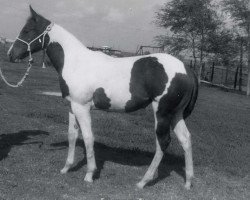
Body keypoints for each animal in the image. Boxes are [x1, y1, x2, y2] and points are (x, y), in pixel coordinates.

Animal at [8, 6, 199, 189]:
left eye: (27, 30)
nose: (11, 54)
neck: (76, 62)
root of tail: (187, 69)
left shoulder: (82, 107)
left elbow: (88, 137)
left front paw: (89, 175)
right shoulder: (72, 106)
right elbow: (72, 135)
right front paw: (66, 168)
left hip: (162, 113)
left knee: (163, 142)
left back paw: (143, 181)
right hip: (176, 114)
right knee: (186, 139)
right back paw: (188, 182)